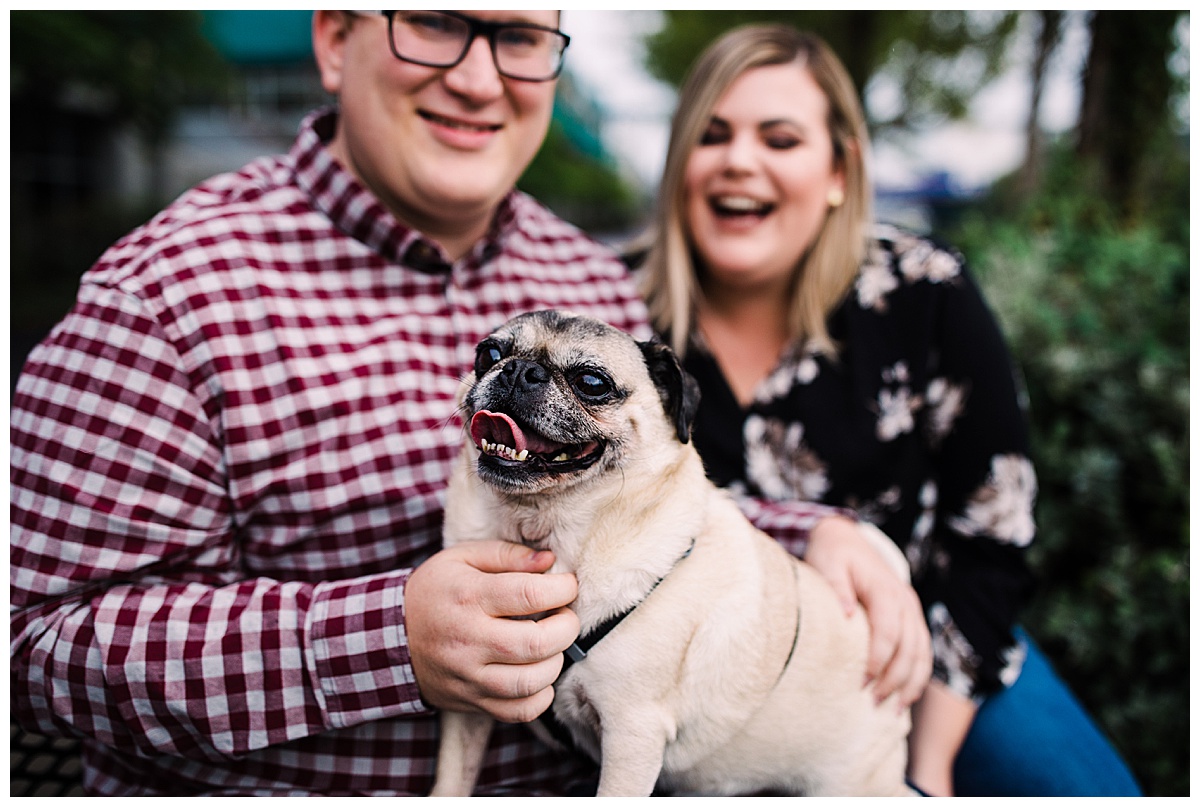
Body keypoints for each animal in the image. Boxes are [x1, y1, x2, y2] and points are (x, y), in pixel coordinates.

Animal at [429, 312, 907, 797]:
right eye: (489, 353)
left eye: (591, 382)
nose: (519, 371)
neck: (544, 528)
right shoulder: (470, 704)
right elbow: (451, 781)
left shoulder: (633, 733)